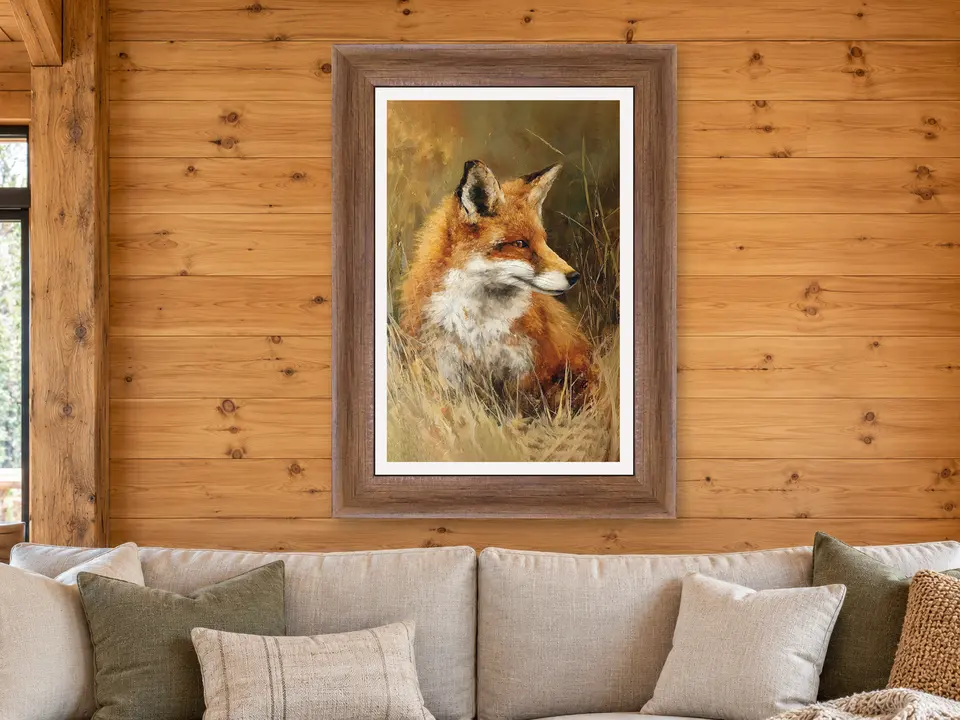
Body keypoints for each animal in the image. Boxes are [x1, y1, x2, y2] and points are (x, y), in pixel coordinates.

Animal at [399, 159, 594, 413]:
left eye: (543, 241)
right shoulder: (445, 366)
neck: (478, 327)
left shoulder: (526, 371)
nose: (574, 276)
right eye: (520, 243)